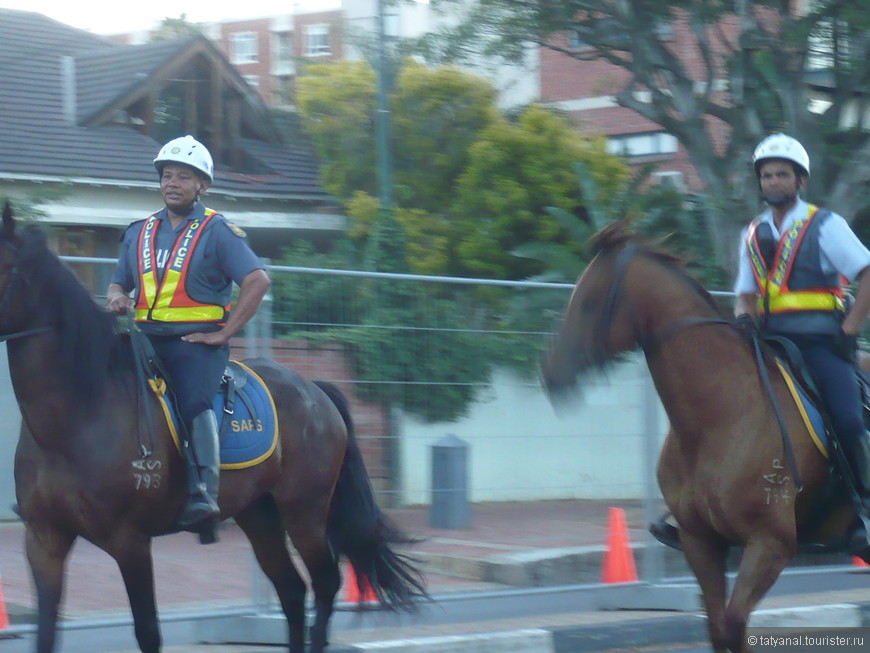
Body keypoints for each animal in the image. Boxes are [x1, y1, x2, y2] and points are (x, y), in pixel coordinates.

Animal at [0, 205, 430, 652]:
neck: (79, 412)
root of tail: (314, 390)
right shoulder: (44, 540)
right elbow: (45, 633)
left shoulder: (130, 541)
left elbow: (148, 630)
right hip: (260, 515)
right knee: (292, 591)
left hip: (305, 511)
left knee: (325, 583)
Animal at [540, 220, 860, 652]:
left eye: (589, 303)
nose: (550, 375)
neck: (717, 419)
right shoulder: (701, 542)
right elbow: (717, 627)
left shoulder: (769, 544)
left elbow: (734, 624)